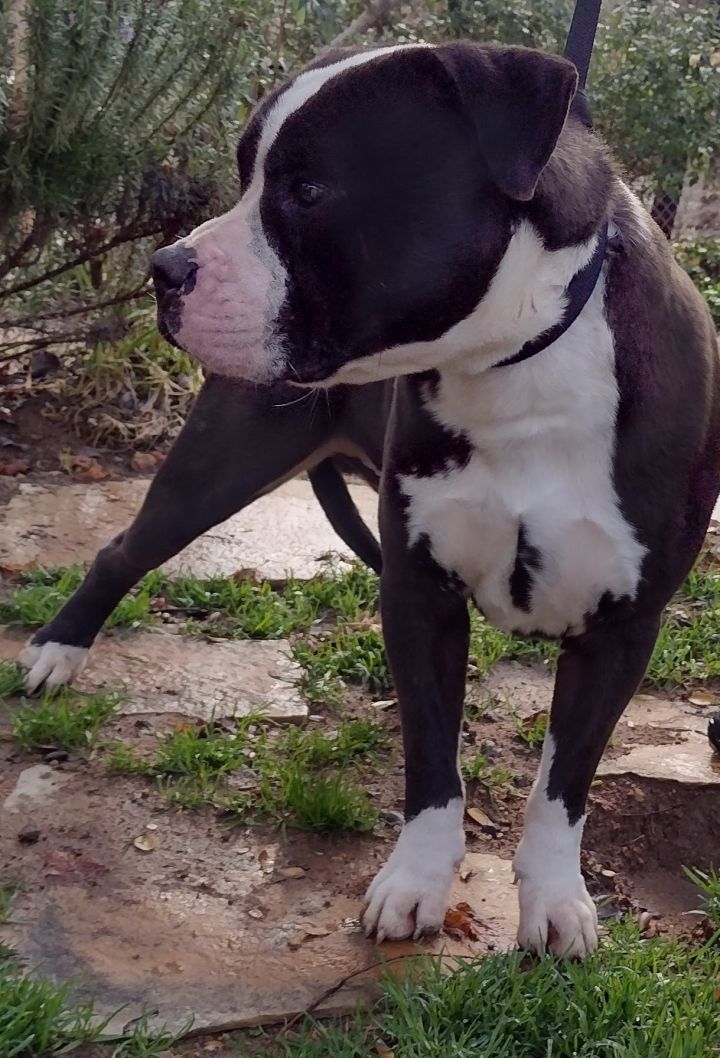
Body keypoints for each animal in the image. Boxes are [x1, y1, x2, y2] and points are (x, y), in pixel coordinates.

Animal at [22, 41, 718, 956]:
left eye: (308, 191)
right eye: (246, 176)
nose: (165, 269)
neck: (518, 365)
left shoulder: (623, 627)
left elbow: (565, 781)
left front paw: (554, 899)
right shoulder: (420, 595)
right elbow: (431, 759)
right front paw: (416, 884)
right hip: (217, 465)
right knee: (121, 551)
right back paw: (57, 652)